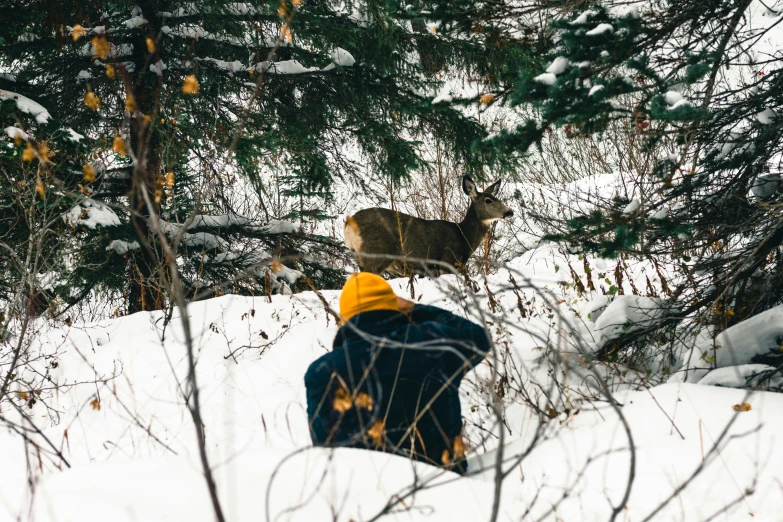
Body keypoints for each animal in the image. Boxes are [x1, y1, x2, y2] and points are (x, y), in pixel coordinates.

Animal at [344, 176, 516, 276]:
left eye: (496, 197)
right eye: (488, 200)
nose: (510, 212)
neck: (463, 236)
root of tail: (349, 225)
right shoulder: (448, 262)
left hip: (360, 258)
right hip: (376, 254)